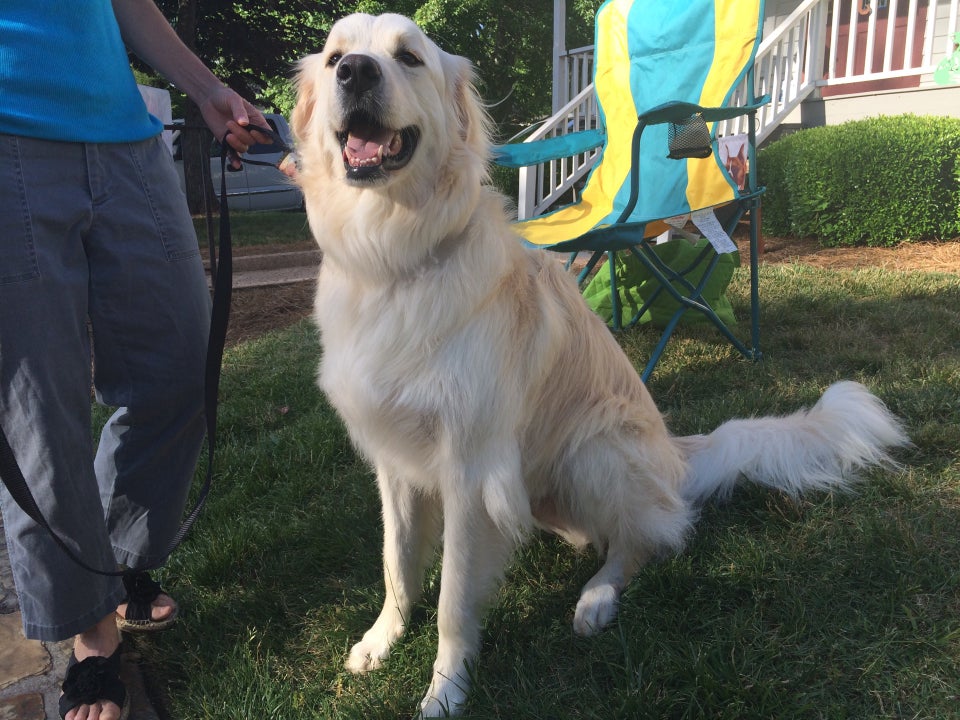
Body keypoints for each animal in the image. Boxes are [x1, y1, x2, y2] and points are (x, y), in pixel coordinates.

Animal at [291, 13, 909, 717]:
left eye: (408, 57)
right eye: (337, 56)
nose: (356, 73)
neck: (393, 257)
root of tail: (677, 455)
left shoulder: (470, 465)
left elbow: (453, 598)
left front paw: (446, 689)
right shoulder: (394, 462)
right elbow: (396, 563)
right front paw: (381, 640)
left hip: (594, 449)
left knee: (652, 537)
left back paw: (596, 597)